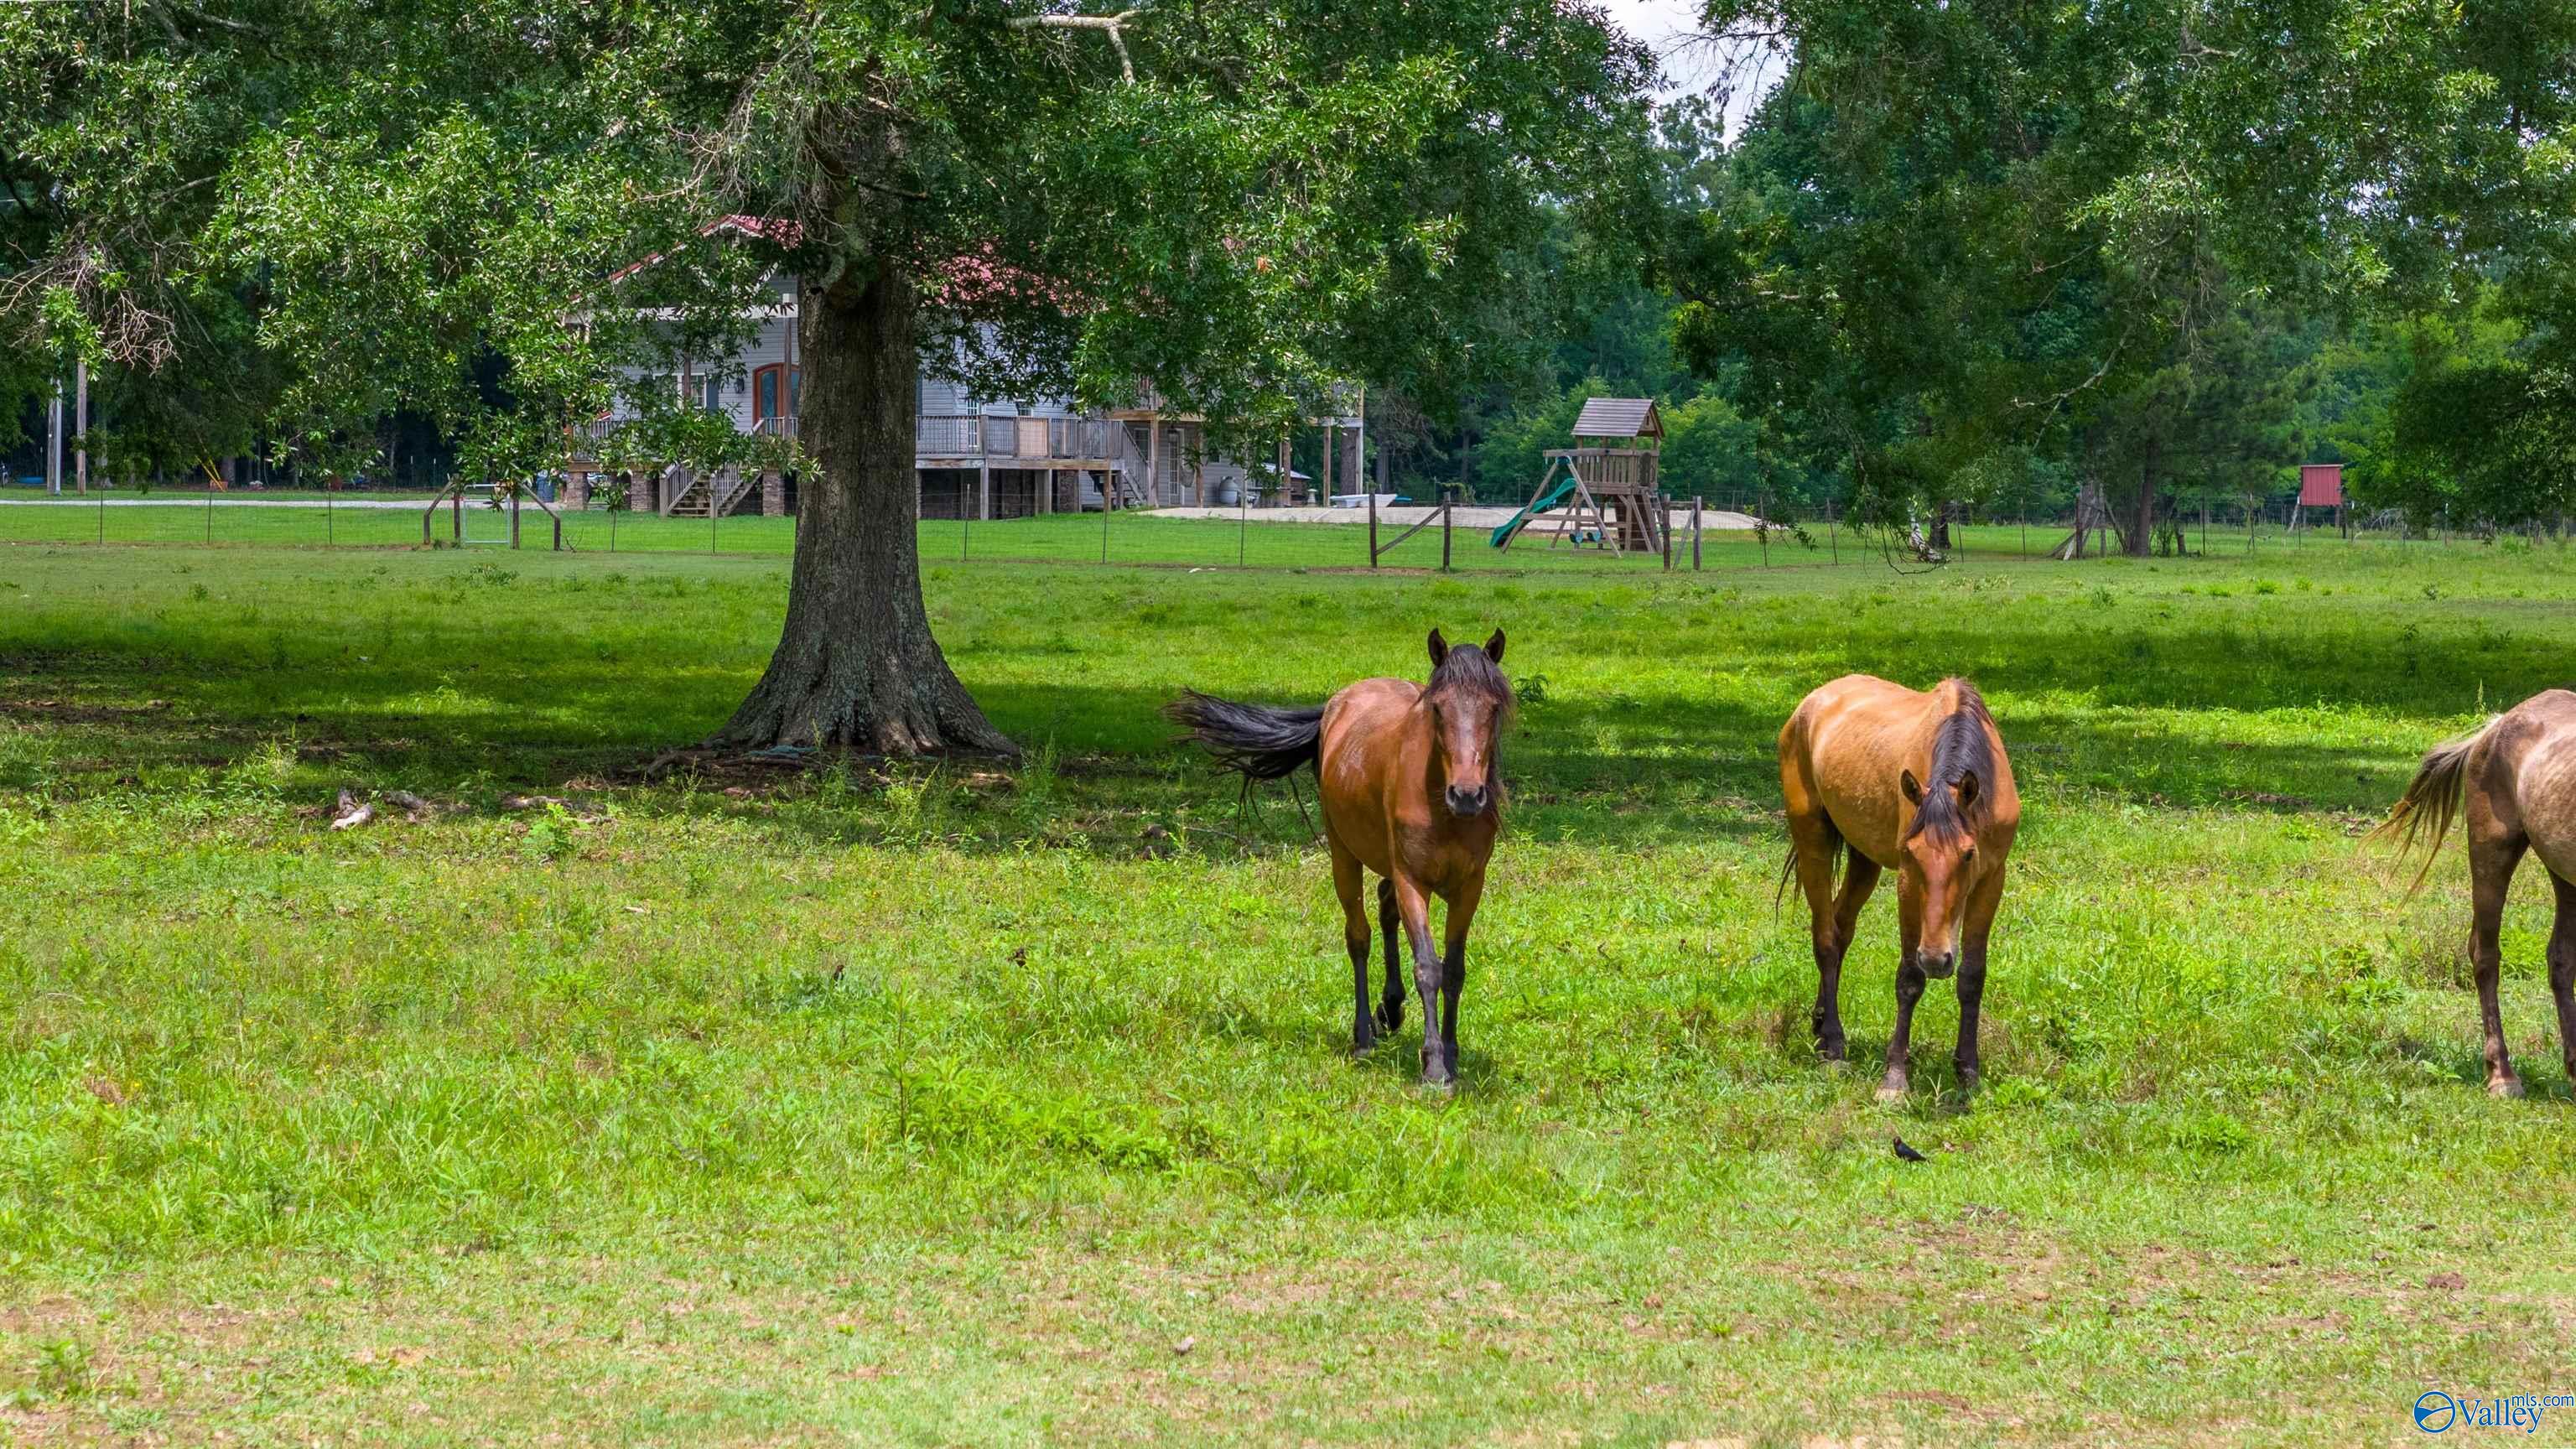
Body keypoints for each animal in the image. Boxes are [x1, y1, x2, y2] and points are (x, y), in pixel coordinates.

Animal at [1169, 626, 1504, 1078]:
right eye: (1437, 708)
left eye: (1494, 708)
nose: (1467, 795)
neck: (1442, 806)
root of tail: (1337, 703)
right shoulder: (1412, 880)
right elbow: (1428, 967)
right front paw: (1434, 1065)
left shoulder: (1470, 887)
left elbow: (1454, 971)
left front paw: (1450, 1054)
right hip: (1343, 855)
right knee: (1359, 936)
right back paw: (1364, 1036)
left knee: (1385, 909)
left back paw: (1390, 1010)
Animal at [1782, 675, 2019, 1093]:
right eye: (1912, 853)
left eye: (1968, 855)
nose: (1937, 959)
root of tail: (1810, 704)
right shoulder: (1908, 884)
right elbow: (1909, 977)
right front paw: (1894, 1078)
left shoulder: (1991, 880)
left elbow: (1972, 975)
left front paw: (1968, 1071)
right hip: (1813, 841)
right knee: (1825, 939)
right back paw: (1834, 1044)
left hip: (1864, 859)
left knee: (1841, 930)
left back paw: (1820, 1024)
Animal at [2370, 685, 2576, 1093]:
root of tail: (2496, 725)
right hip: (2490, 852)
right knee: (2484, 954)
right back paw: (2501, 1075)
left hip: (2563, 873)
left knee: (2560, 959)